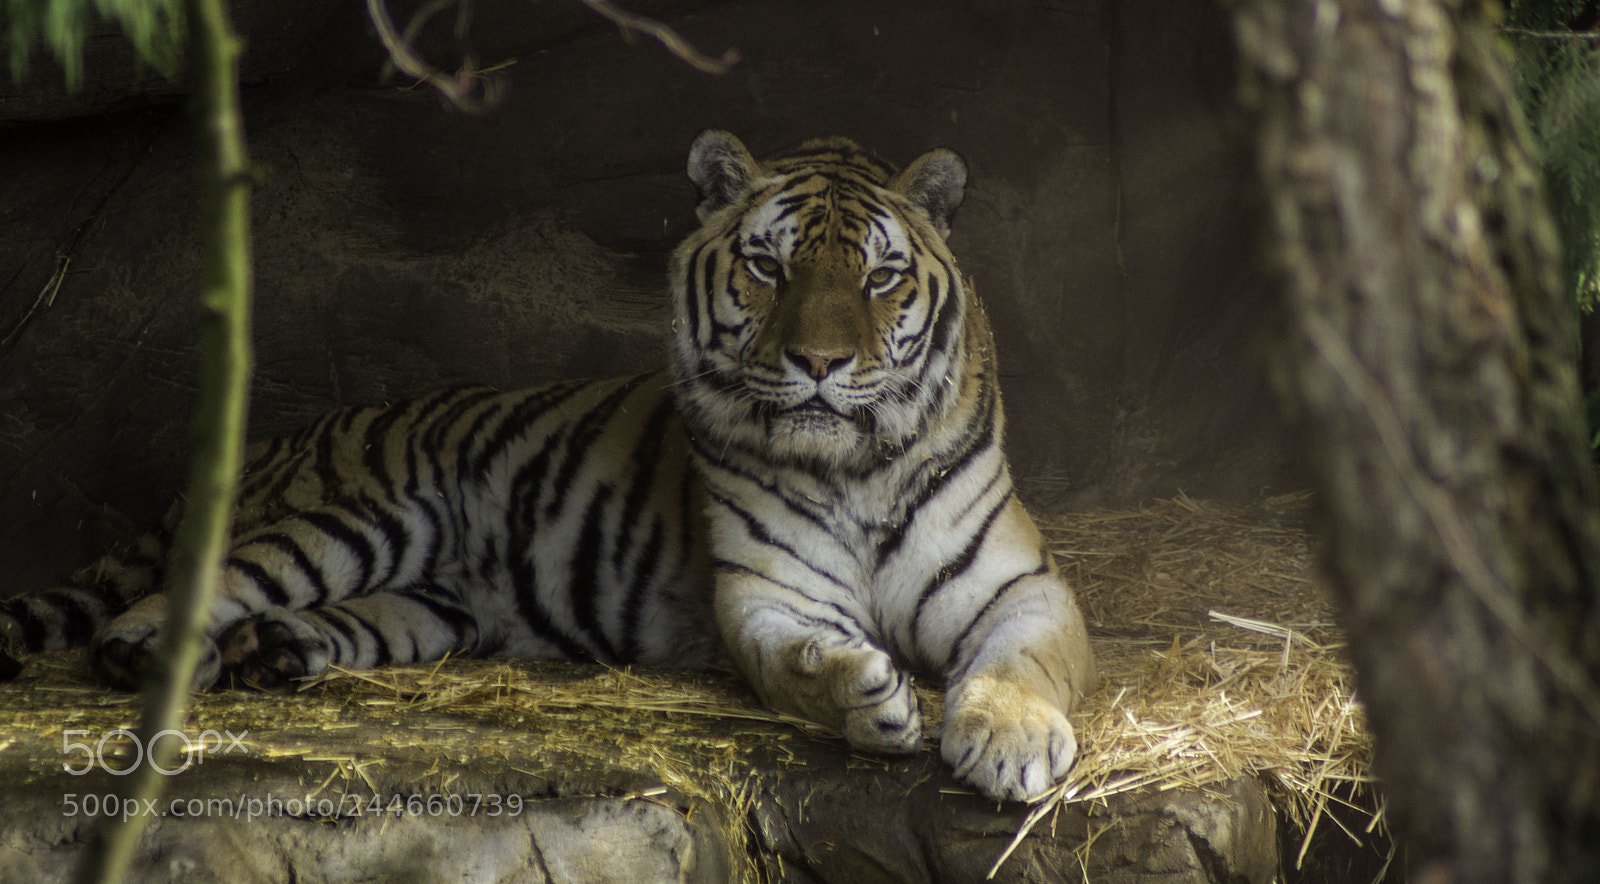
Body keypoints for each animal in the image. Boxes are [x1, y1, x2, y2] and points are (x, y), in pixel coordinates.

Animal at [0, 131, 1096, 802]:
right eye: (768, 266)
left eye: (879, 277)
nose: (819, 363)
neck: (854, 471)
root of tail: (271, 439)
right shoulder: (761, 597)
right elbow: (799, 659)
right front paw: (864, 692)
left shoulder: (1022, 588)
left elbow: (1021, 663)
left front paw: (1008, 742)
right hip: (357, 521)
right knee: (175, 602)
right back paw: (171, 665)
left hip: (432, 603)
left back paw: (270, 653)